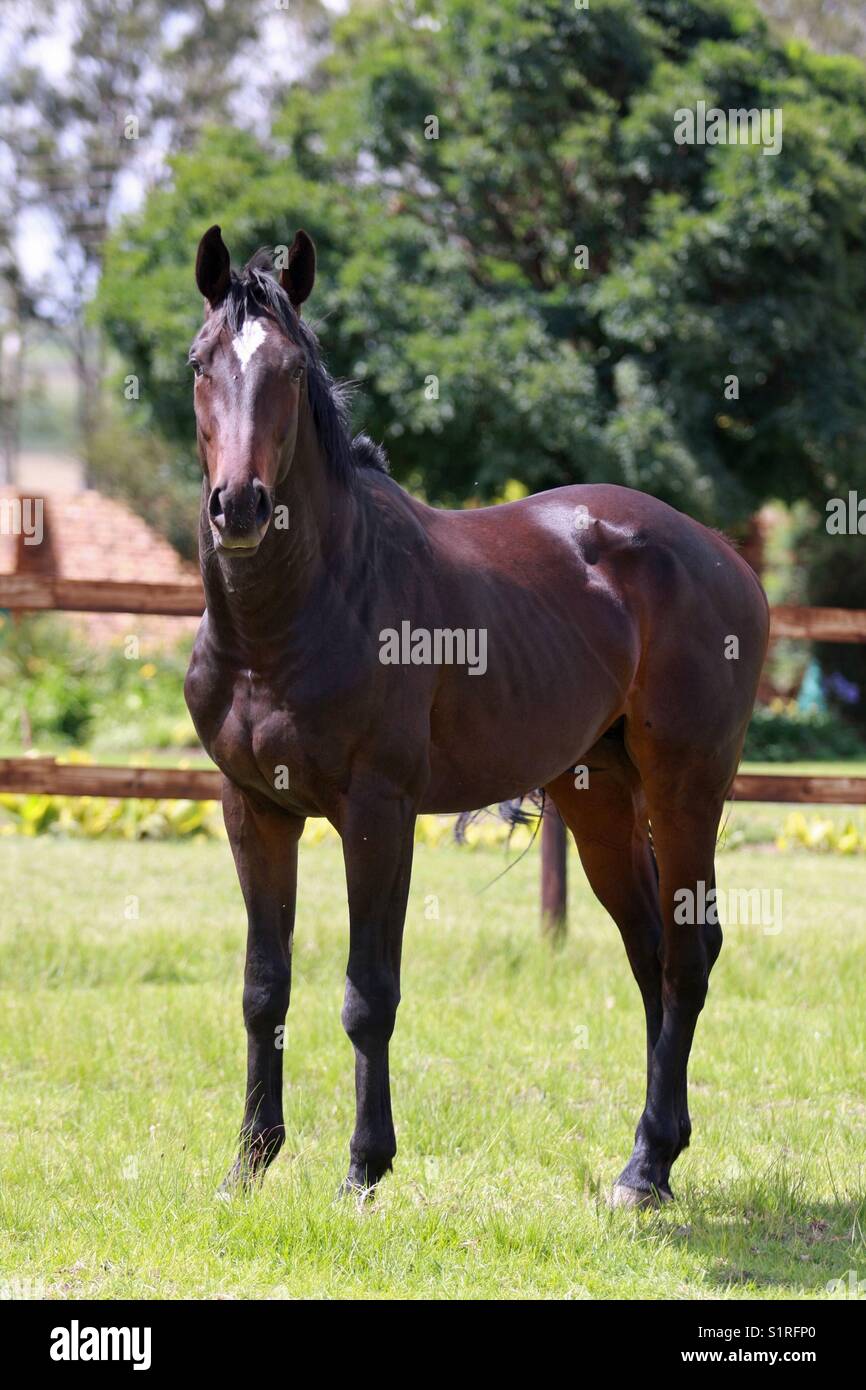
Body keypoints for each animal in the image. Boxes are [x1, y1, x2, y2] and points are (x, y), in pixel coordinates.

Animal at [186, 227, 767, 1206]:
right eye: (200, 363)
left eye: (293, 372)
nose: (240, 507)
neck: (293, 619)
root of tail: (724, 556)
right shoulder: (253, 809)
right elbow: (264, 989)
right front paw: (249, 1166)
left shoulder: (378, 815)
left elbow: (368, 994)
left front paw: (364, 1169)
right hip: (598, 798)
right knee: (648, 953)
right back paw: (654, 1152)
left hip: (687, 789)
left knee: (687, 956)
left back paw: (645, 1168)